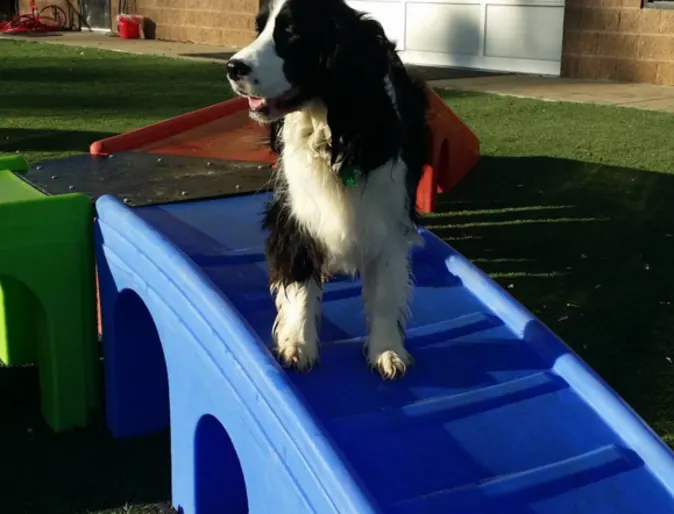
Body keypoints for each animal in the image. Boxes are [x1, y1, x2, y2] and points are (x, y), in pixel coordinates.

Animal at [223, 0, 428, 376]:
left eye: (291, 33)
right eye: (259, 28)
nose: (233, 67)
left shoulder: (389, 219)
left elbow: (385, 291)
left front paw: (387, 350)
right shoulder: (295, 211)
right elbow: (300, 278)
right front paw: (297, 344)